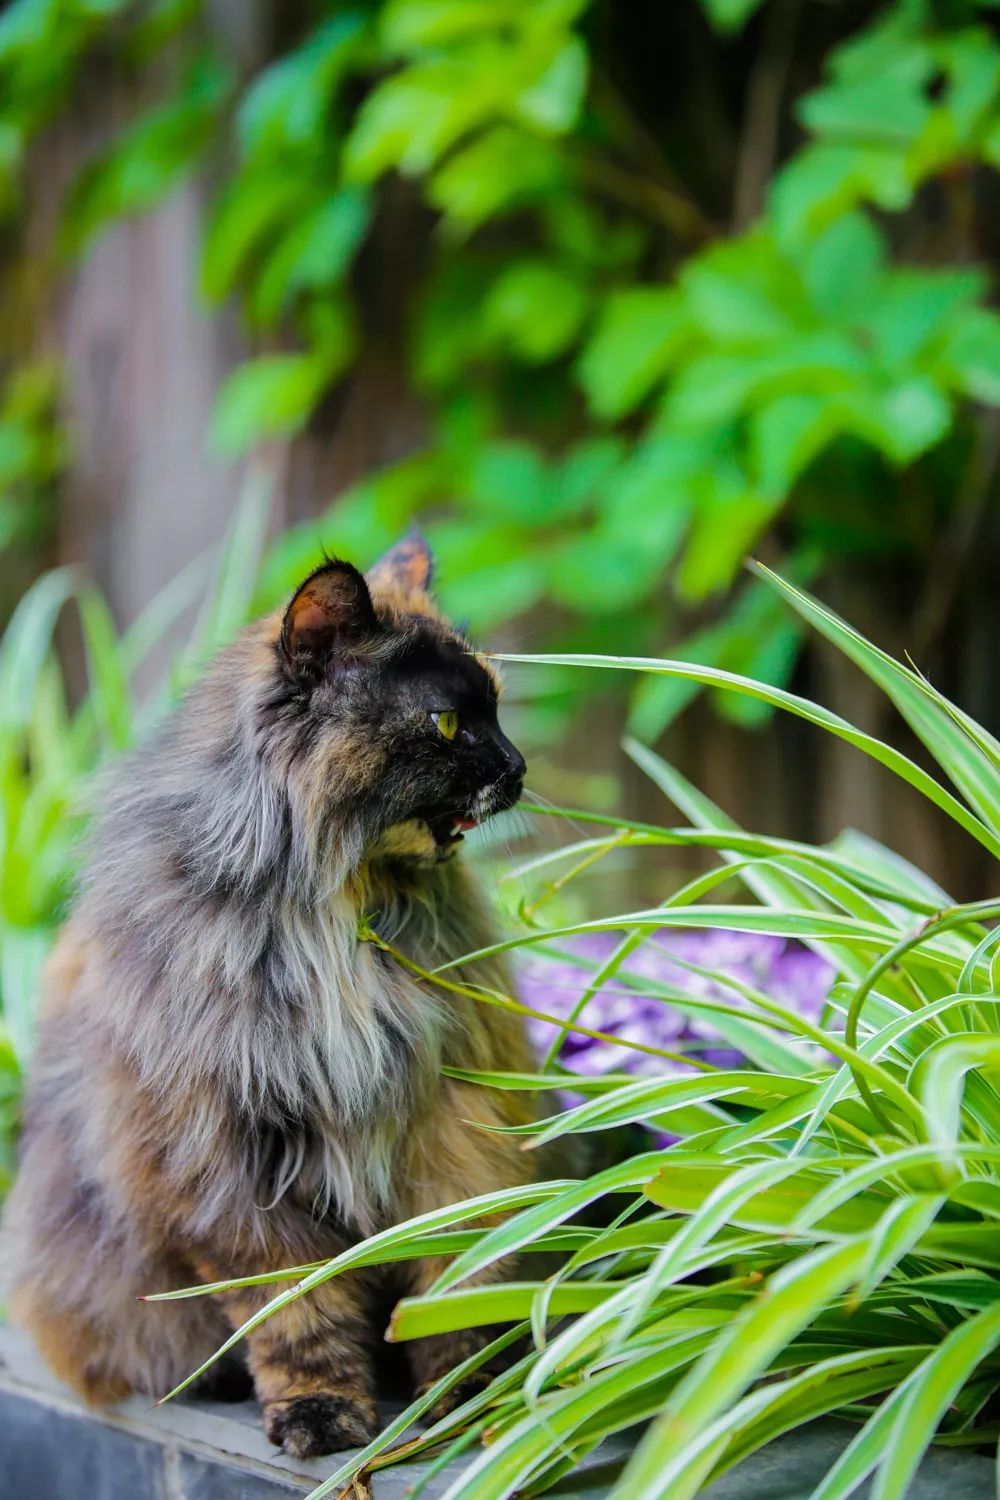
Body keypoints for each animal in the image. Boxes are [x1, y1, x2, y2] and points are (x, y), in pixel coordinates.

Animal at [1, 537, 548, 1452]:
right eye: (446, 723)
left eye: (500, 709)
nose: (516, 767)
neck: (336, 914)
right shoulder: (227, 1172)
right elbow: (297, 1316)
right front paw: (321, 1413)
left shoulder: (452, 1127)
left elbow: (457, 1283)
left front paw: (467, 1394)